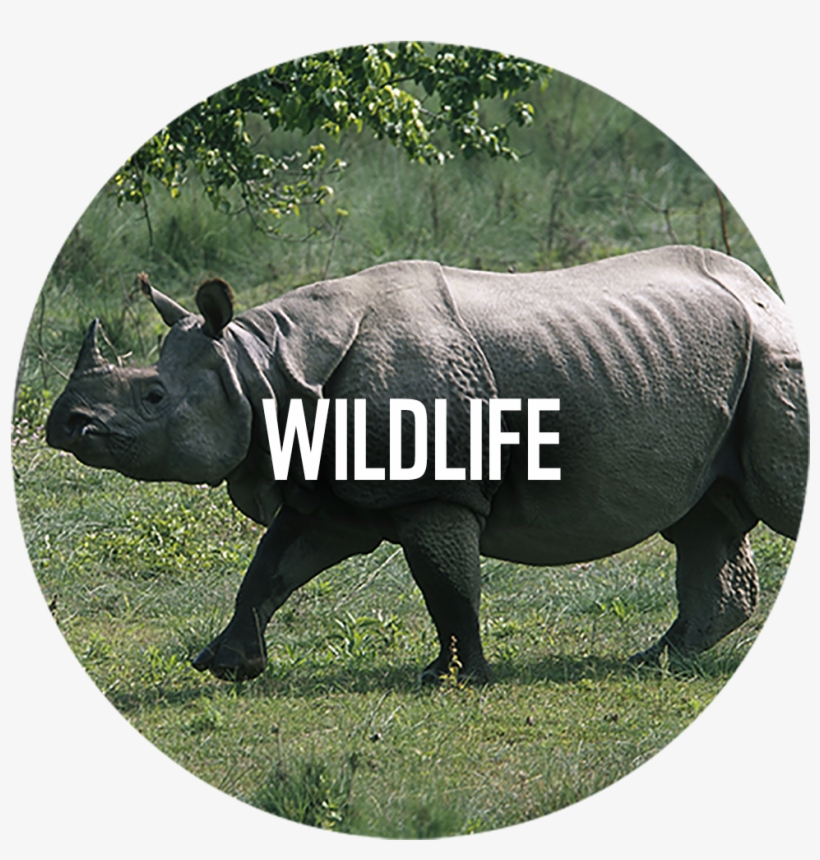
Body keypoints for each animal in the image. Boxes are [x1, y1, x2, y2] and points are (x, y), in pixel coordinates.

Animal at [45, 246, 808, 683]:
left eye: (153, 396)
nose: (64, 424)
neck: (259, 369)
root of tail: (768, 293)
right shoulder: (328, 490)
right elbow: (271, 568)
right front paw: (226, 667)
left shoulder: (433, 492)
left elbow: (447, 585)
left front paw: (453, 678)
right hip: (721, 357)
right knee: (704, 515)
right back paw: (655, 661)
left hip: (775, 353)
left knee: (776, 500)